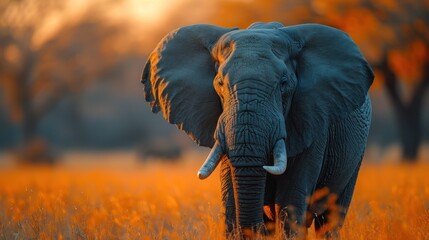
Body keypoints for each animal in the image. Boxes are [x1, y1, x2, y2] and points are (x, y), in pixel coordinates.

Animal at [140, 22, 372, 238]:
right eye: (220, 83)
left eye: (284, 83)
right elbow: (231, 202)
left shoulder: (313, 120)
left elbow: (290, 202)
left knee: (331, 218)